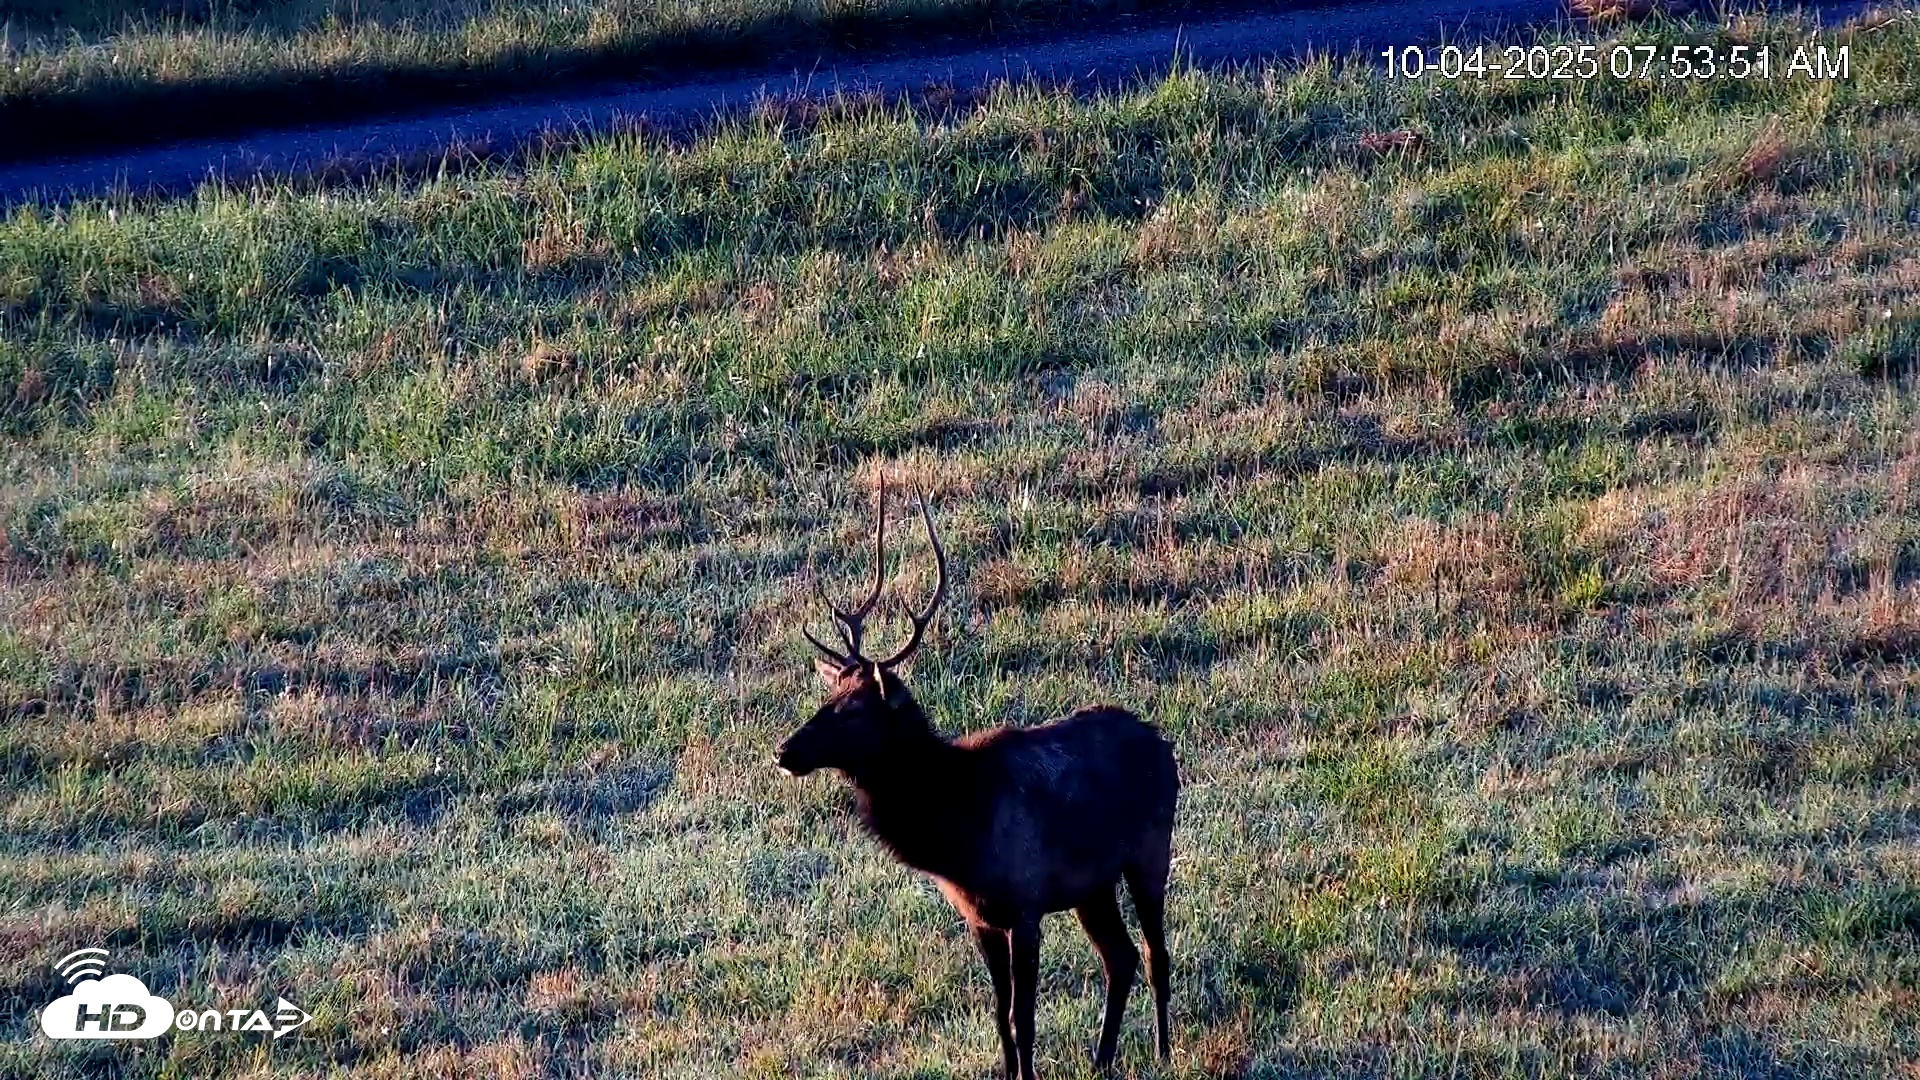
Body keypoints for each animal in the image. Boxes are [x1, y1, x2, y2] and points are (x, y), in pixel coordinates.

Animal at [774, 475, 1180, 1080]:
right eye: (829, 698)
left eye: (854, 709)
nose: (784, 751)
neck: (958, 832)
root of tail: (1165, 745)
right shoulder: (980, 918)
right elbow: (1000, 1021)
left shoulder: (1026, 904)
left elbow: (1022, 1020)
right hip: (1093, 884)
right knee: (1121, 955)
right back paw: (1102, 1059)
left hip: (1150, 850)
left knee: (1155, 954)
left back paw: (1163, 1051)